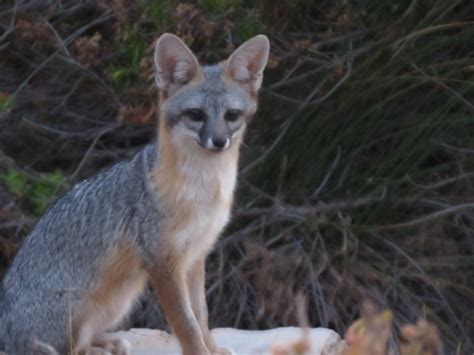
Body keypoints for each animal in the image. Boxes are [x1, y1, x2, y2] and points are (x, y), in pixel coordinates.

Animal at [0, 32, 268, 354]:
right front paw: (199, 351)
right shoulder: (164, 264)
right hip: (82, 306)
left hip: (120, 299)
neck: (204, 190)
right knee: (65, 349)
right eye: (196, 115)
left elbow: (201, 315)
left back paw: (108, 342)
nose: (218, 141)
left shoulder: (196, 255)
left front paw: (212, 350)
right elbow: (186, 324)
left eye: (231, 115)